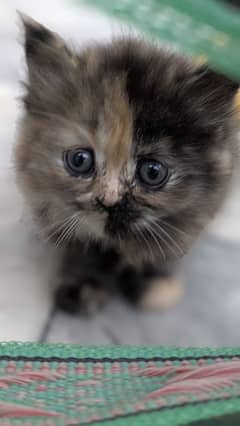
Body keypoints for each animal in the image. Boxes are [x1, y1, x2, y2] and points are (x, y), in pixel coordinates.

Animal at [15, 15, 239, 314]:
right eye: (80, 160)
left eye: (152, 172)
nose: (108, 201)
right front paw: (83, 284)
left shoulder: (205, 205)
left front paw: (155, 282)